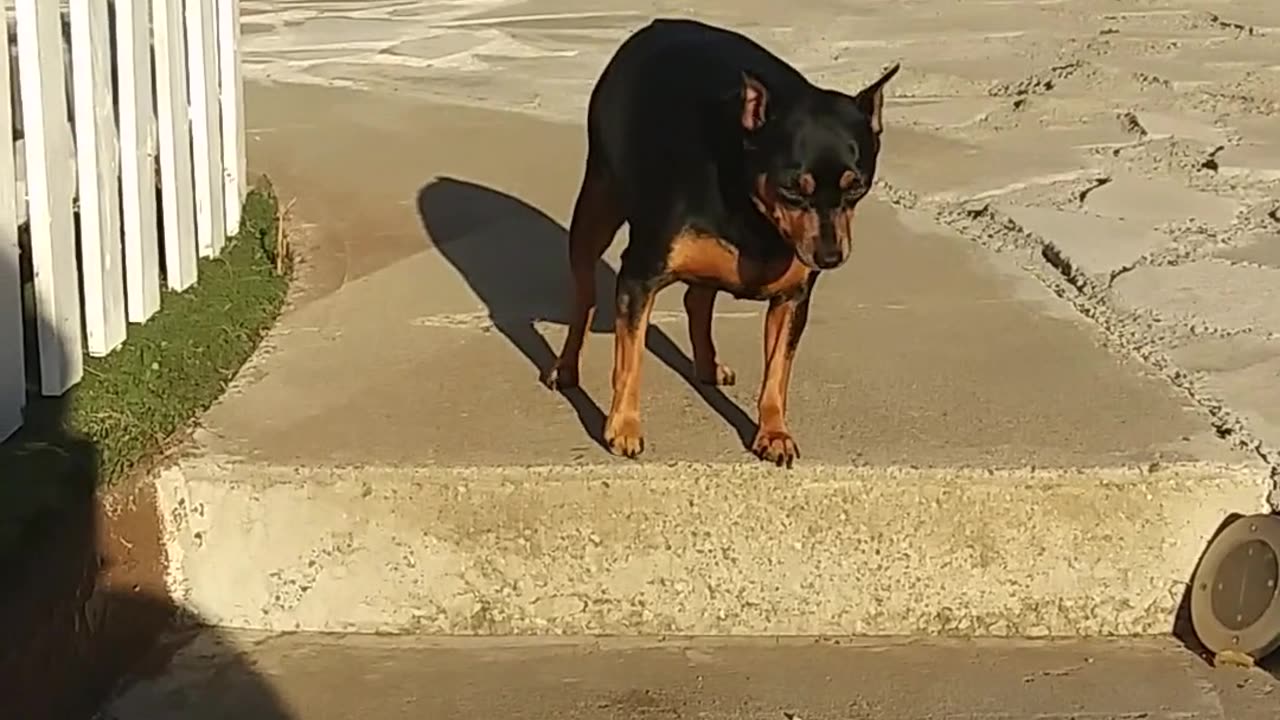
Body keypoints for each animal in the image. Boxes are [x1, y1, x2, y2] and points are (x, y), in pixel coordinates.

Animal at [542, 18, 901, 466]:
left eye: (858, 188)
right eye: (792, 190)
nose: (831, 256)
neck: (756, 214)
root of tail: (658, 24)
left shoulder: (792, 299)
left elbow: (776, 374)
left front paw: (774, 433)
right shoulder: (638, 278)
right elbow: (630, 361)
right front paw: (623, 428)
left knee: (697, 298)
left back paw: (707, 365)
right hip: (596, 209)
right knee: (586, 297)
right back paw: (566, 368)